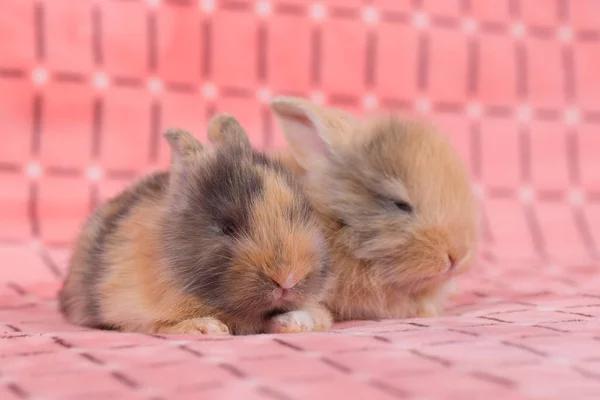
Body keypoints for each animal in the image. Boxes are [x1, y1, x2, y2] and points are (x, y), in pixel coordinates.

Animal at [58, 114, 336, 336]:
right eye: (227, 227)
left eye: (304, 212)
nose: (288, 279)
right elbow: (165, 325)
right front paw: (209, 328)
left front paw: (295, 323)